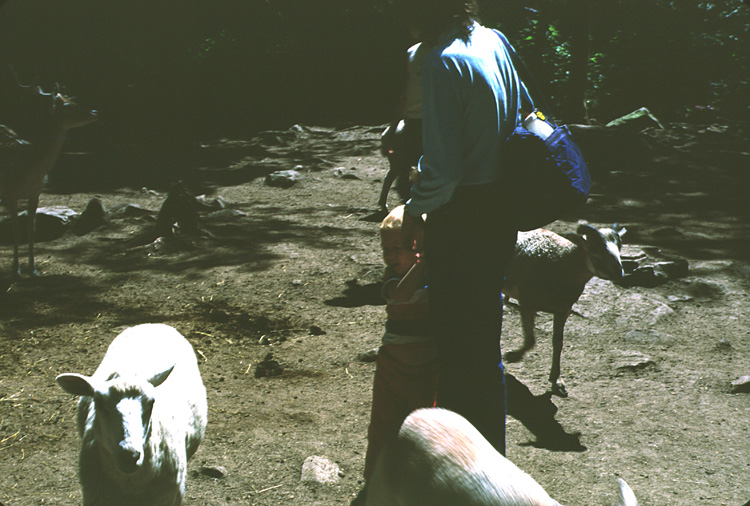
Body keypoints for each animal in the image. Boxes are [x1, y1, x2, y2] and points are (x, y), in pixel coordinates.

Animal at [506, 223, 628, 398]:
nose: (619, 272)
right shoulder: (526, 301)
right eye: (594, 247)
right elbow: (530, 340)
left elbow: (558, 343)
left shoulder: (563, 310)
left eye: (620, 246)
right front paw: (512, 356)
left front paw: (557, 382)